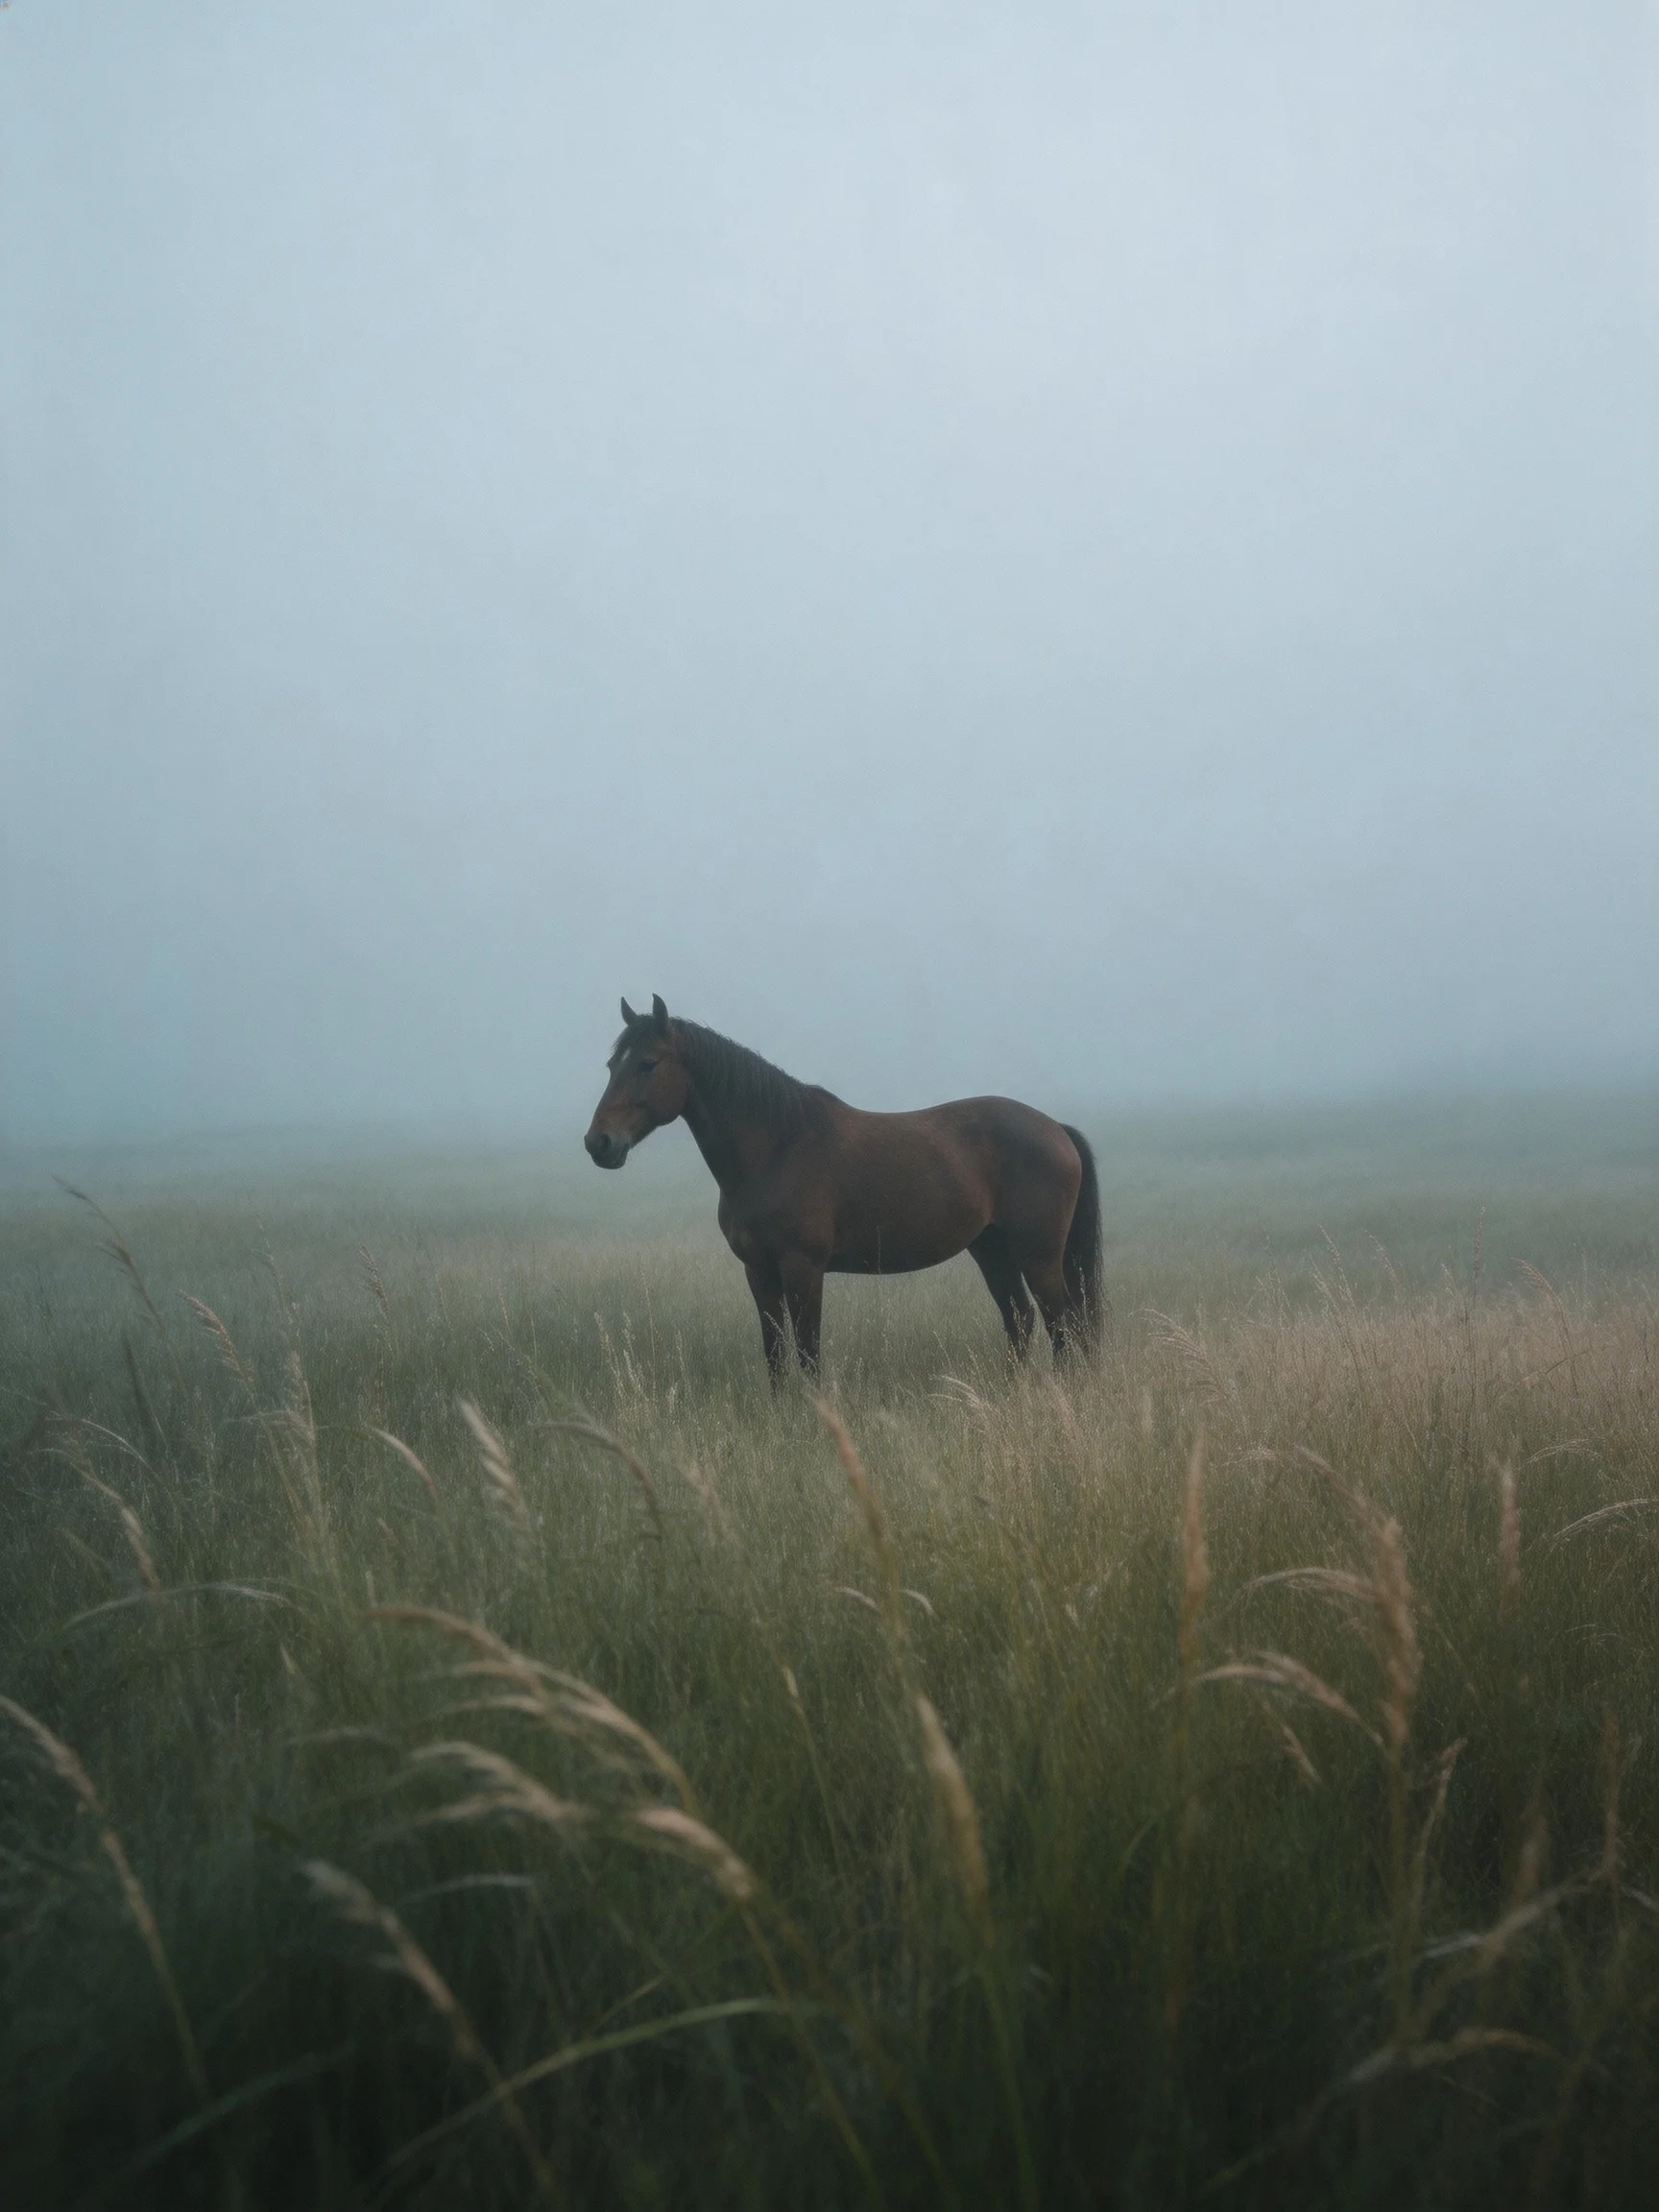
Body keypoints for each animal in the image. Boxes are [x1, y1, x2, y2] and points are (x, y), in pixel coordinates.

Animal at [584, 995, 1103, 1383]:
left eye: (647, 1064)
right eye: (611, 1065)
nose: (598, 1143)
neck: (777, 1148)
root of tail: (1056, 1129)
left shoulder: (803, 1269)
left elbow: (807, 1354)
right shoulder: (759, 1272)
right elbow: (775, 1357)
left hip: (1038, 1256)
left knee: (1065, 1326)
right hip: (992, 1251)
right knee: (1022, 1321)